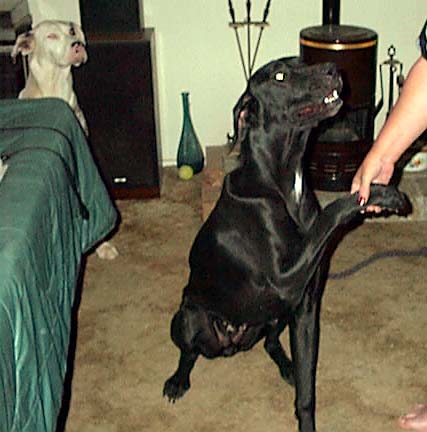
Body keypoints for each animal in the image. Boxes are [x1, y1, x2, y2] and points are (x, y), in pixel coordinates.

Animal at [164, 58, 412, 432]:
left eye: (302, 61)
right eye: (279, 76)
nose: (333, 68)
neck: (283, 179)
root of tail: (233, 344)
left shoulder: (305, 306)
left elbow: (307, 391)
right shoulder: (285, 279)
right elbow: (335, 211)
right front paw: (382, 193)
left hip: (274, 315)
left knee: (270, 342)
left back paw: (287, 366)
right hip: (188, 317)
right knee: (189, 351)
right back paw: (178, 380)